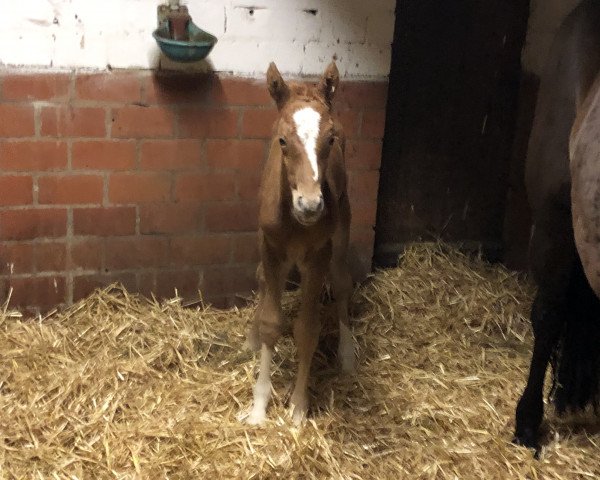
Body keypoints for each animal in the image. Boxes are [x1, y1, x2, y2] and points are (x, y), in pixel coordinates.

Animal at [244, 62, 356, 426]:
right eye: (282, 140)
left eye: (330, 139)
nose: (310, 205)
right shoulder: (270, 247)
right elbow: (271, 322)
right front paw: (259, 407)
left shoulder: (319, 254)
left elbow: (307, 329)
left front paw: (297, 406)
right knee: (262, 279)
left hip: (342, 228)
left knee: (342, 282)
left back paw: (347, 354)